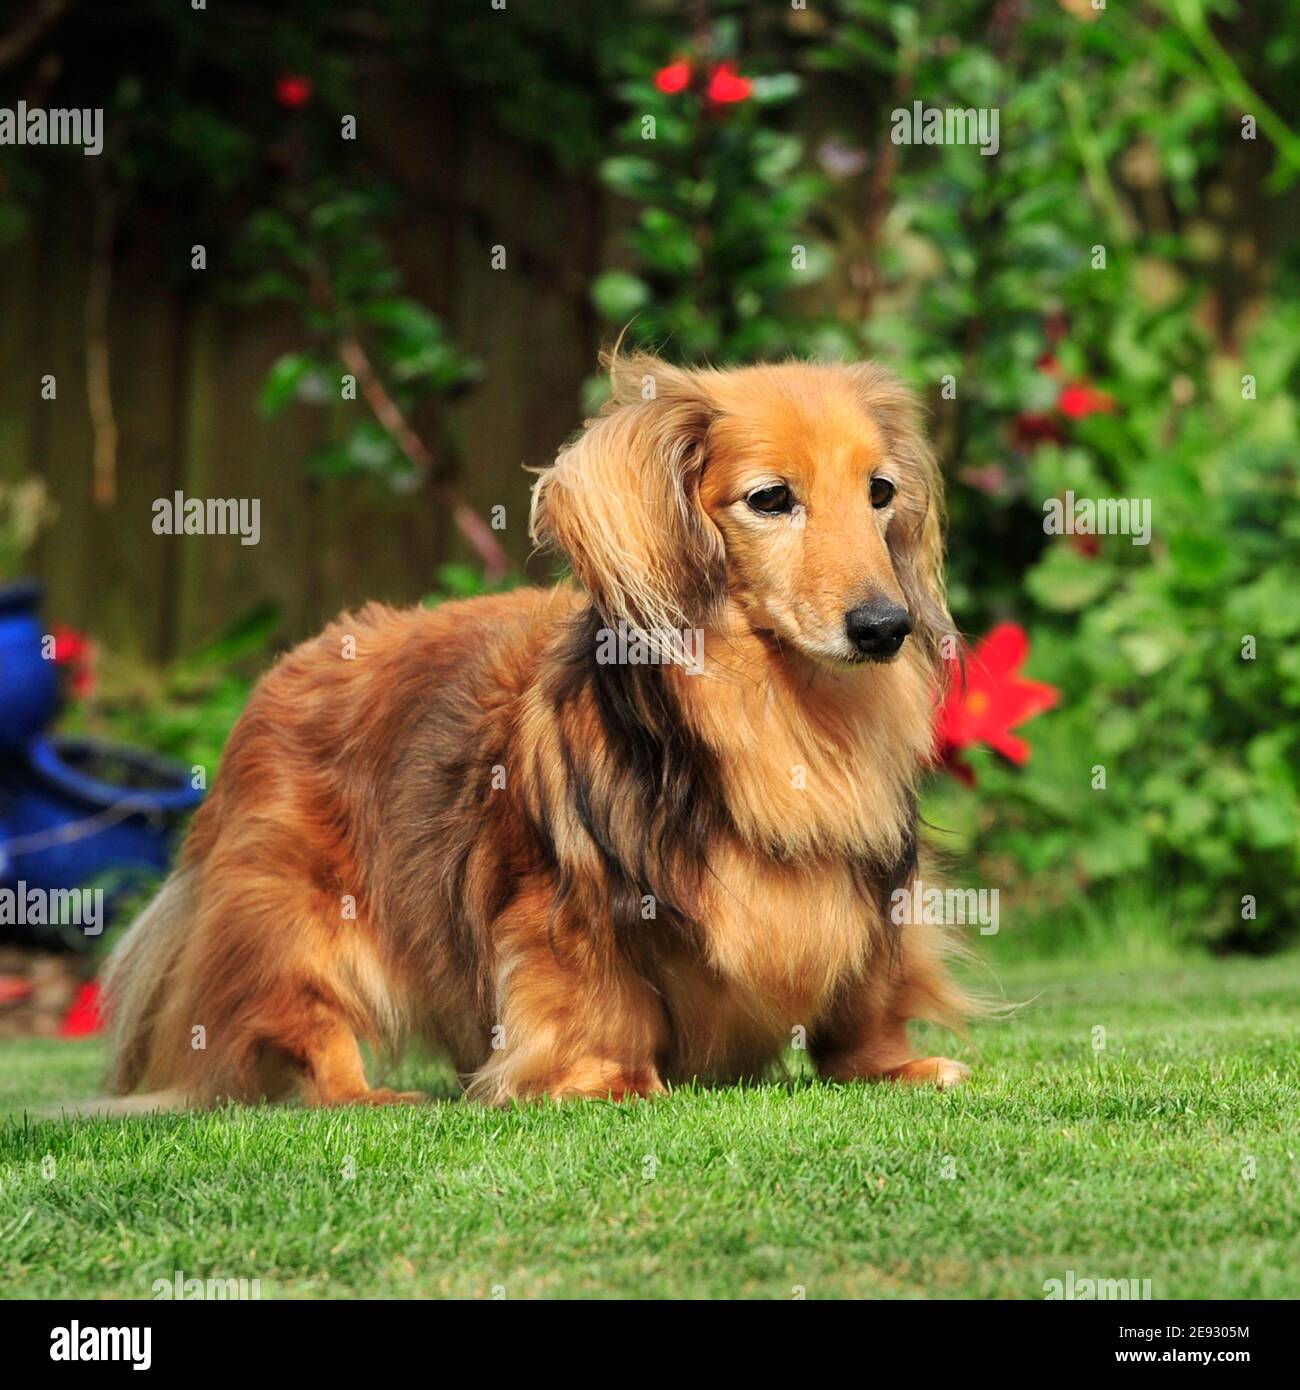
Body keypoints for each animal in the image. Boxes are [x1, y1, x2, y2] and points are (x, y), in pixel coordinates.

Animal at [101, 353, 973, 1112]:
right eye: (770, 499)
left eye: (881, 492)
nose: (884, 627)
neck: (779, 708)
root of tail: (293, 661)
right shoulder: (569, 902)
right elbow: (596, 998)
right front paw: (608, 1080)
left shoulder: (868, 892)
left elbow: (865, 999)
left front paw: (894, 1064)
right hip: (290, 921)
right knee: (311, 1025)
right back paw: (366, 1094)